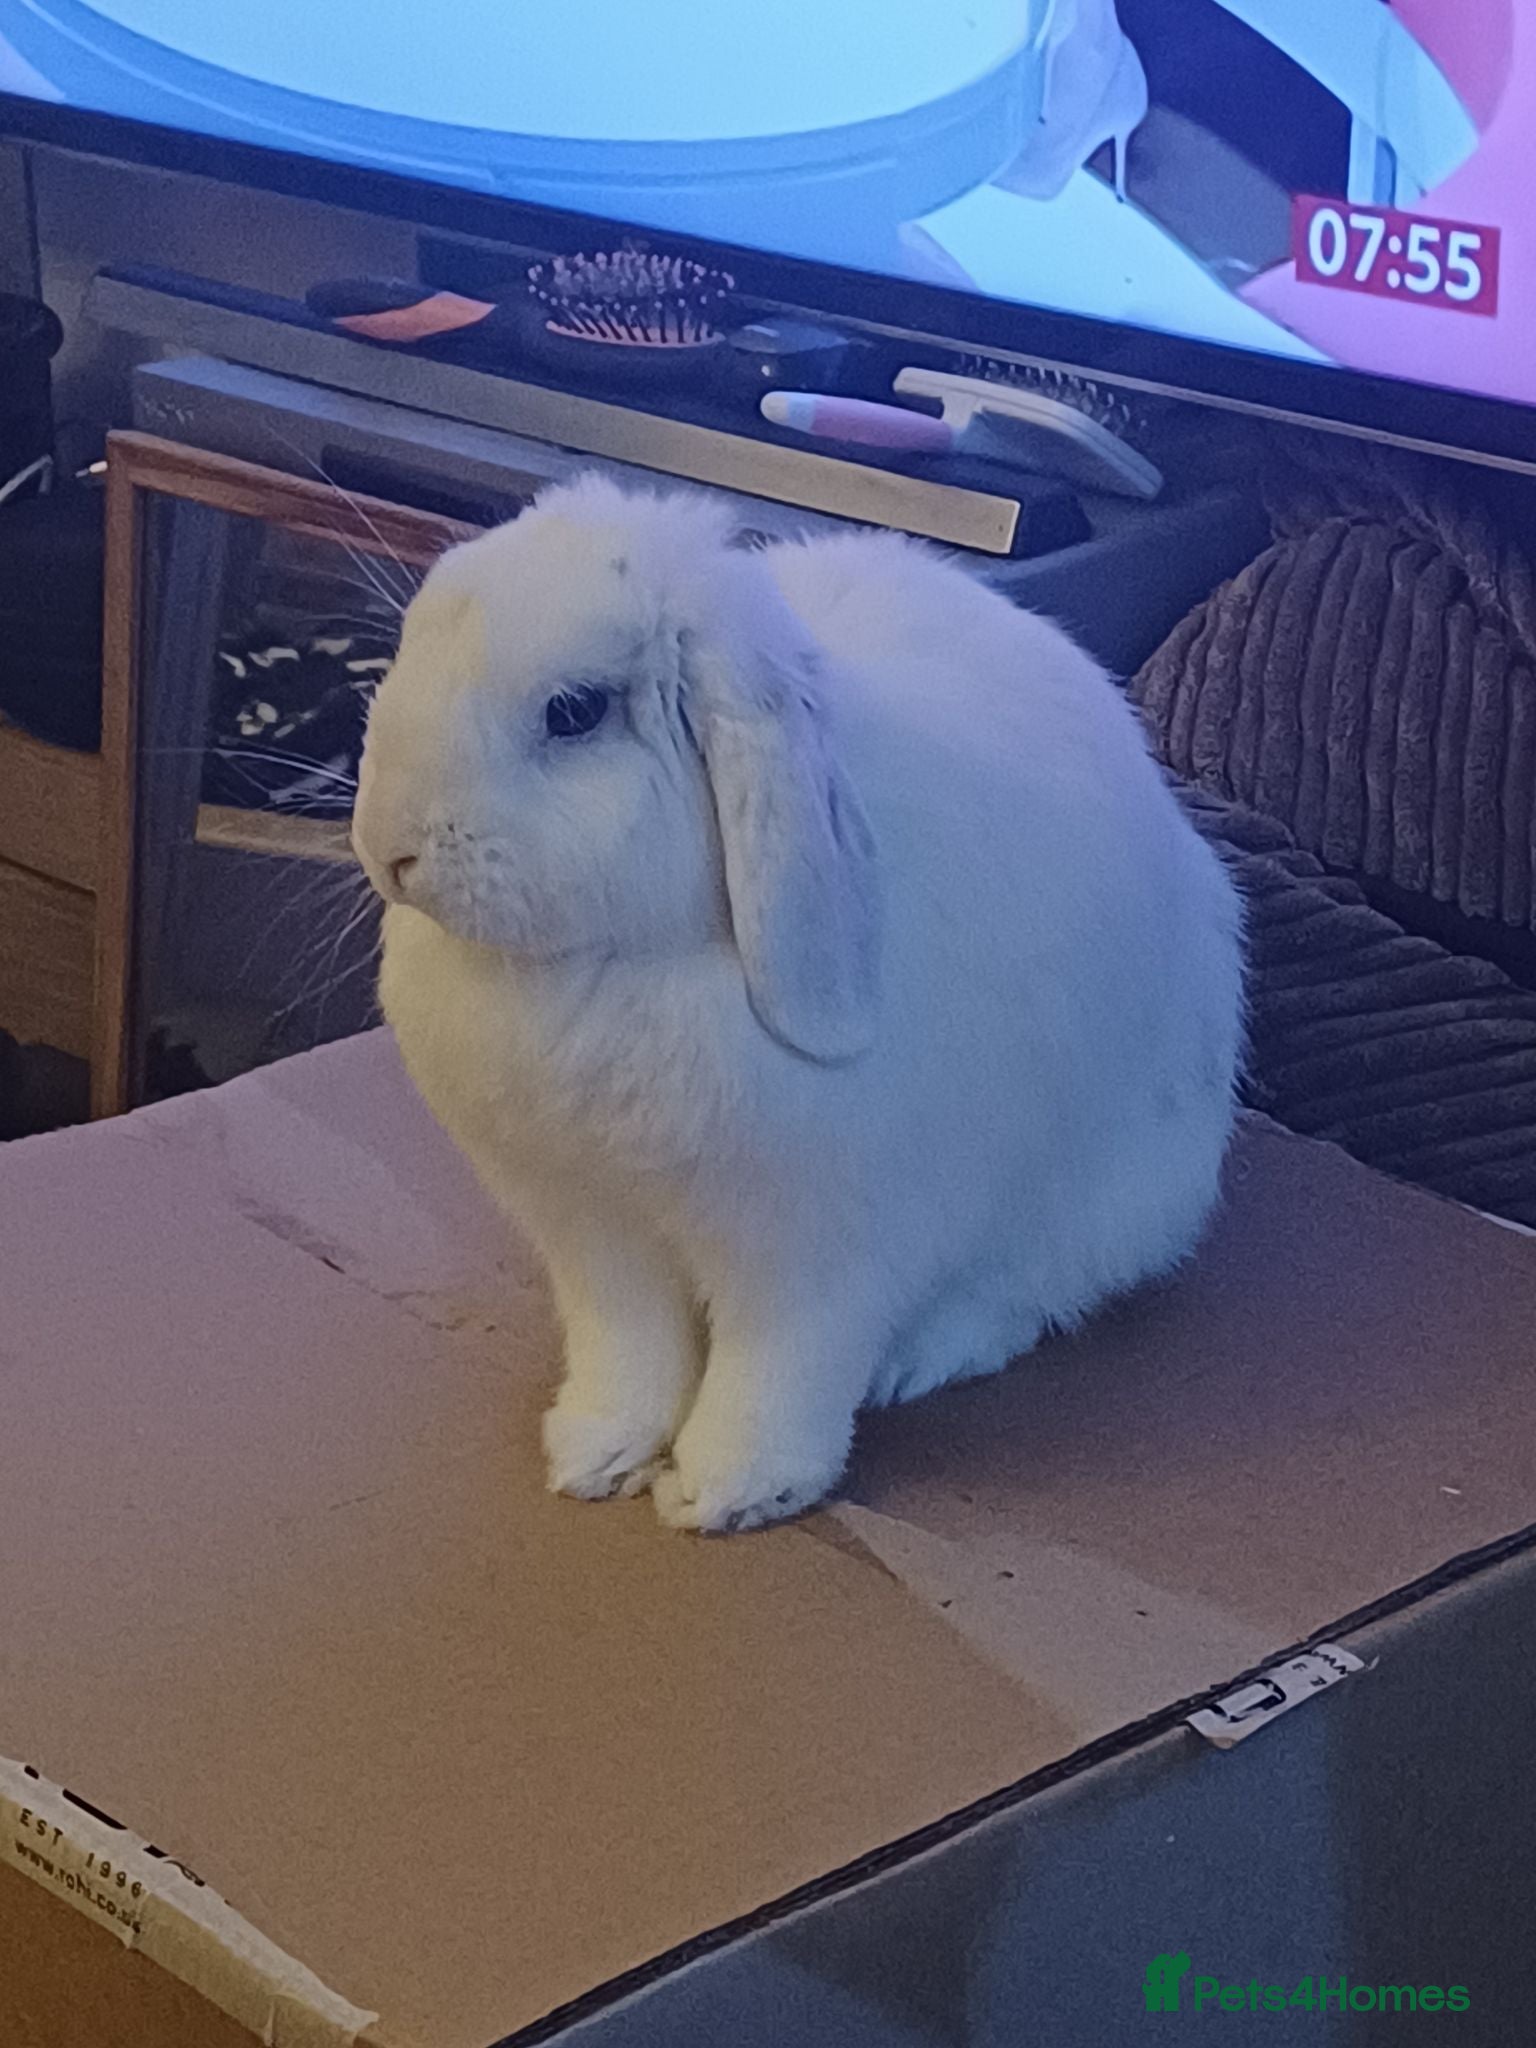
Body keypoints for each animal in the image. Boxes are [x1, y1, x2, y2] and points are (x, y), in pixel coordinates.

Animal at [353, 474, 1243, 1533]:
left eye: (574, 711)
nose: (388, 847)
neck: (604, 967)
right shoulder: (590, 1229)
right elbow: (631, 1348)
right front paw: (598, 1452)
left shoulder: (816, 1254)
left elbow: (776, 1370)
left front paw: (731, 1491)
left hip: (1102, 1199)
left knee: (1026, 1296)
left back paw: (916, 1361)